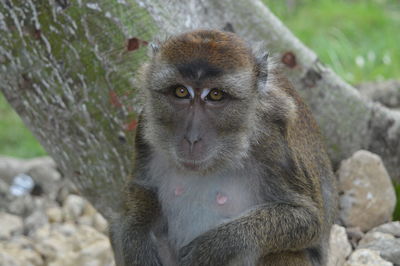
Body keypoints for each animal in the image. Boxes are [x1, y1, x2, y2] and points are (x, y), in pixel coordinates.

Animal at [109, 29, 338, 266]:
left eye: (216, 95)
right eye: (181, 92)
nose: (192, 138)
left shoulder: (274, 144)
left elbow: (308, 219)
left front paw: (216, 246)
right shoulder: (145, 123)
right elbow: (141, 188)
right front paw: (137, 234)